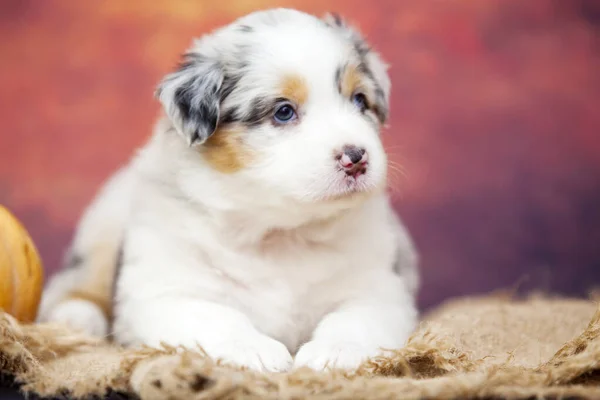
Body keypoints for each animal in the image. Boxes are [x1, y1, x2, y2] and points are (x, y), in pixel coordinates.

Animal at [37, 8, 420, 372]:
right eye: (284, 112)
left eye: (359, 101)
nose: (356, 158)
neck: (280, 235)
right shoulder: (165, 291)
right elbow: (217, 316)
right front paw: (256, 350)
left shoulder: (379, 286)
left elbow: (354, 319)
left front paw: (335, 352)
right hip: (103, 225)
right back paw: (76, 318)